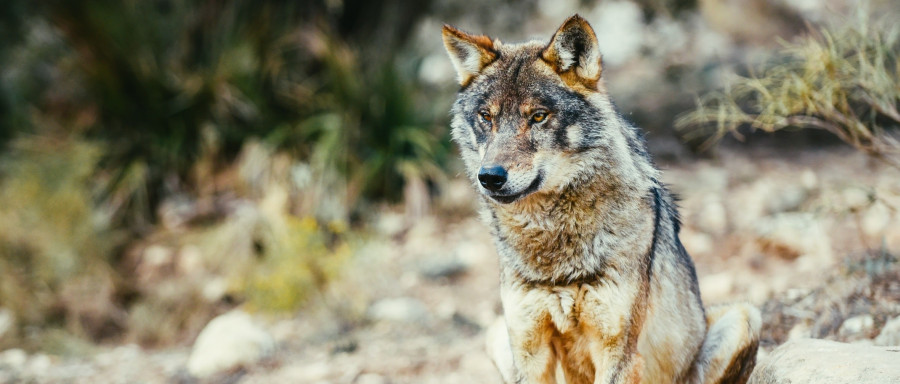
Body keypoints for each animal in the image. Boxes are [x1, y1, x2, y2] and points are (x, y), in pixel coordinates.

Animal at [442, 15, 760, 384]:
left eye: (538, 116)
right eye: (486, 117)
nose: (490, 177)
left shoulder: (619, 353)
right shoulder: (529, 351)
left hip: (745, 316)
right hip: (496, 333)